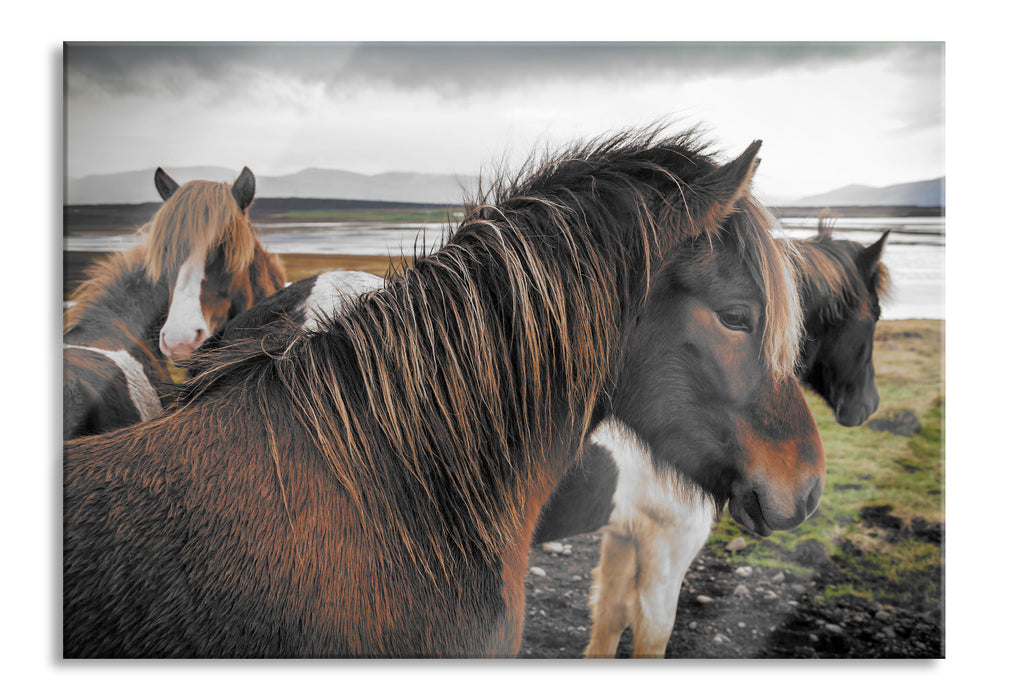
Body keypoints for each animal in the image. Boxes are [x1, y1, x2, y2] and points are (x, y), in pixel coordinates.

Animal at [528, 223, 891, 657]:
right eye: (875, 316)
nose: (869, 404)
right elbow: (652, 632)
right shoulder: (671, 536)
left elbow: (609, 617)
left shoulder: (623, 532)